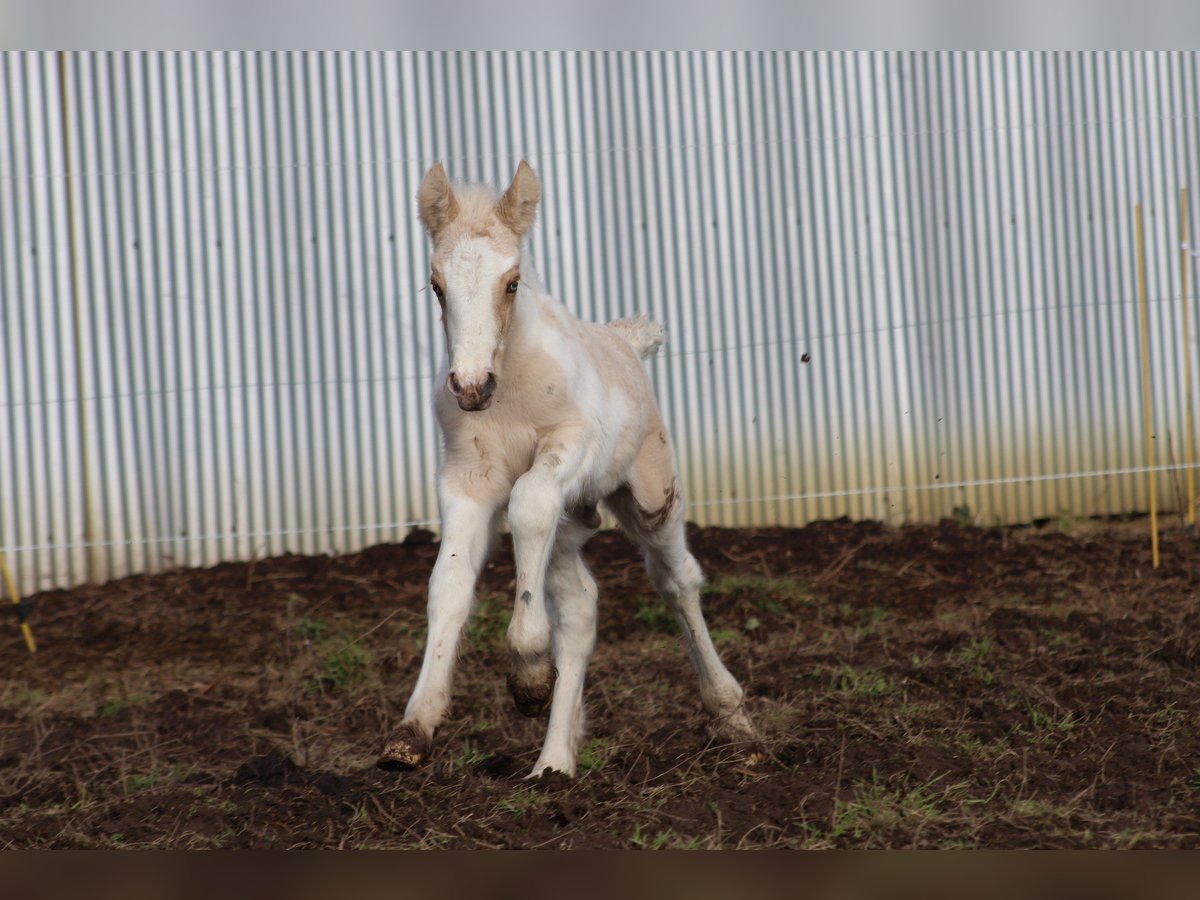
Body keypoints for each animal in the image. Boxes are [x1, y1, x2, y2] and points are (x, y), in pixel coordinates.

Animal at [379, 158, 753, 777]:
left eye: (512, 282)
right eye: (436, 285)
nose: (471, 386)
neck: (510, 393)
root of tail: (627, 341)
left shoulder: (568, 449)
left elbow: (528, 505)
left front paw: (529, 672)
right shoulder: (466, 478)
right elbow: (449, 583)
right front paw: (414, 728)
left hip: (649, 495)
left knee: (676, 580)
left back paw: (732, 716)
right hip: (574, 521)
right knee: (578, 607)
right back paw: (554, 762)